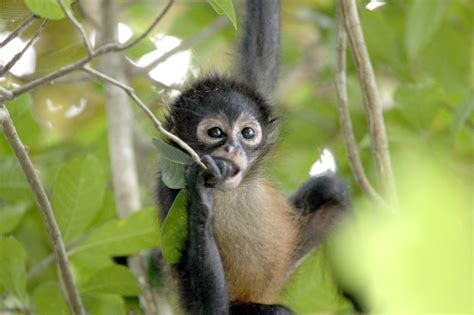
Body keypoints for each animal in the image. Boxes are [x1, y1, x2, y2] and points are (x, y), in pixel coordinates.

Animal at [157, 1, 350, 314]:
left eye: (247, 133)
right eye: (215, 132)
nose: (233, 148)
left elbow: (260, 57)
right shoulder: (170, 191)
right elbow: (211, 308)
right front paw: (200, 194)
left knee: (331, 190)